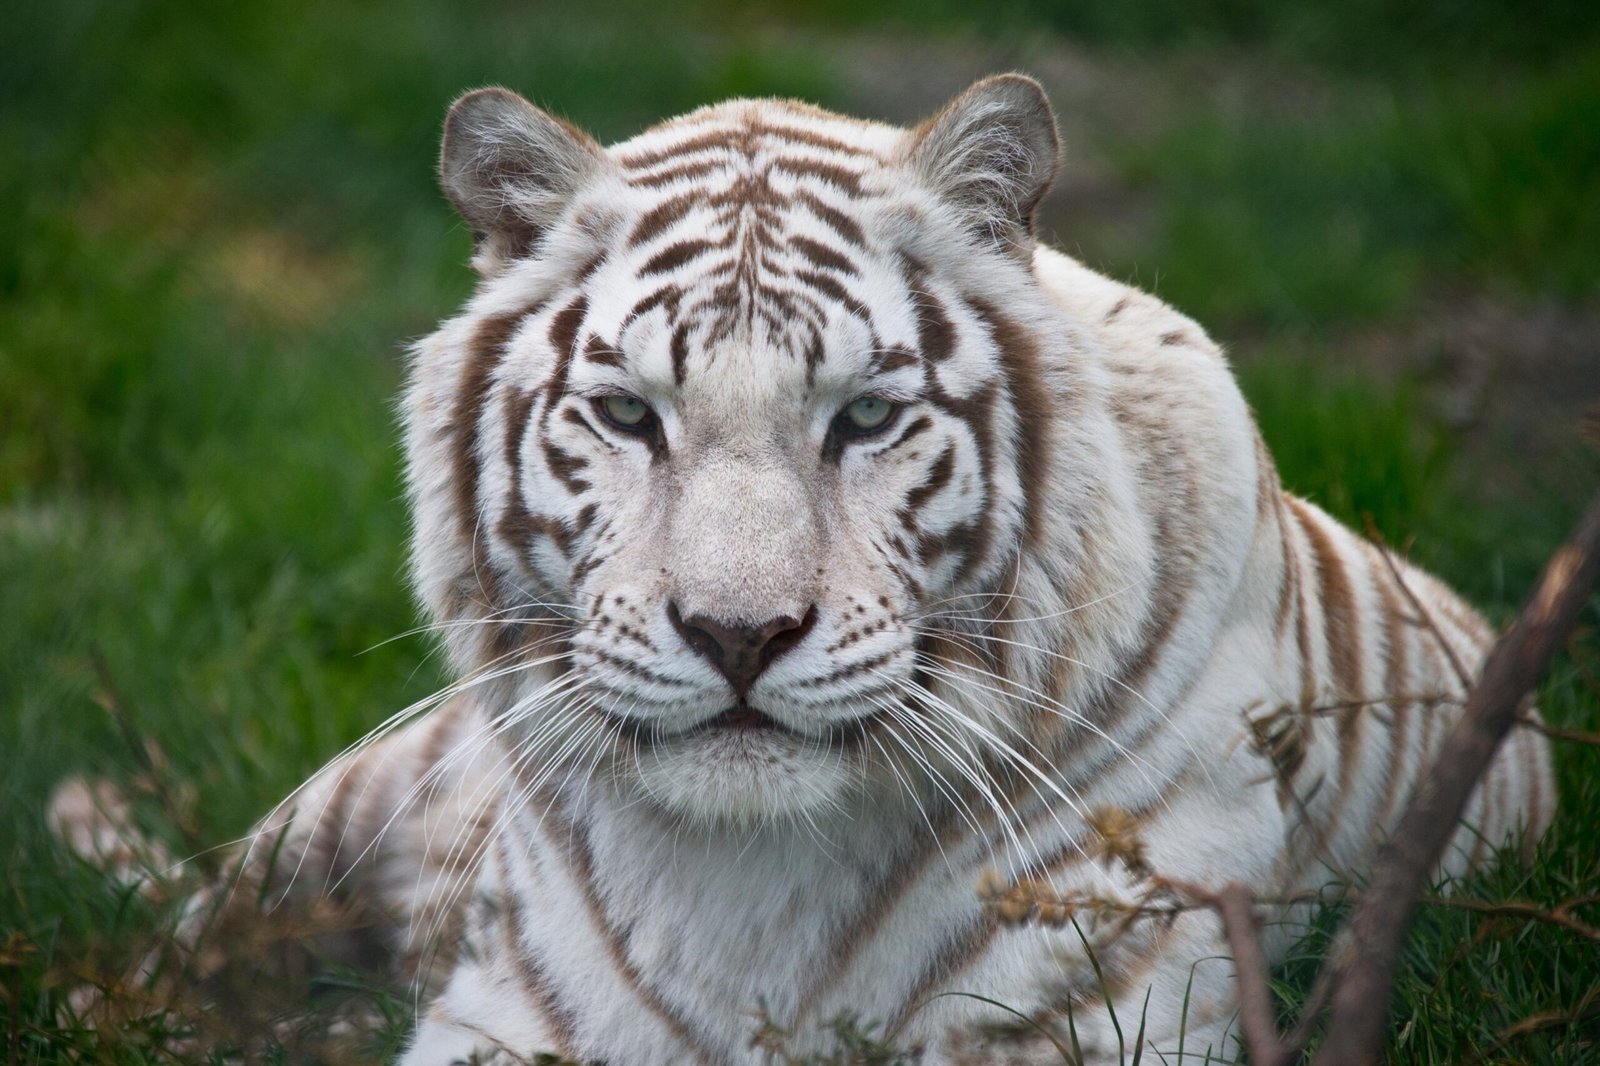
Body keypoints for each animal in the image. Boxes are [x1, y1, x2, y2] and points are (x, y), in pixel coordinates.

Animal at [59, 74, 1548, 1062]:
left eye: (867, 418)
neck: (744, 889)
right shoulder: (507, 1011)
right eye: (629, 415)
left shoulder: (1088, 1003)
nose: (738, 633)